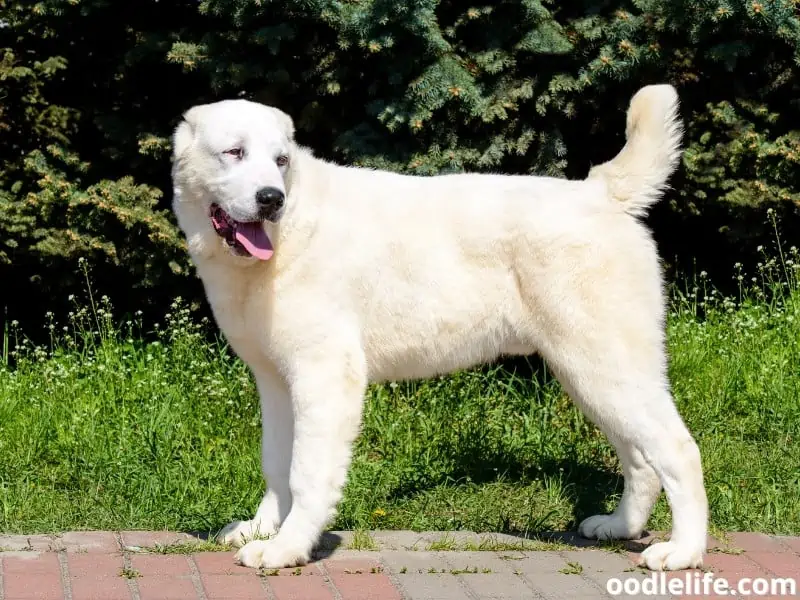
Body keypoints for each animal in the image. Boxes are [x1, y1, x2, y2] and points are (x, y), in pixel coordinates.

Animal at [172, 85, 708, 572]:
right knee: (640, 458)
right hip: (585, 372)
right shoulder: (275, 380)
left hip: (605, 363)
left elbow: (306, 472)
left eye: (281, 161)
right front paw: (262, 528)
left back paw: (682, 551)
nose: (271, 199)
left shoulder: (323, 375)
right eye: (234, 153)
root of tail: (601, 190)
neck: (289, 228)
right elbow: (276, 464)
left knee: (679, 450)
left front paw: (287, 547)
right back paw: (620, 526)